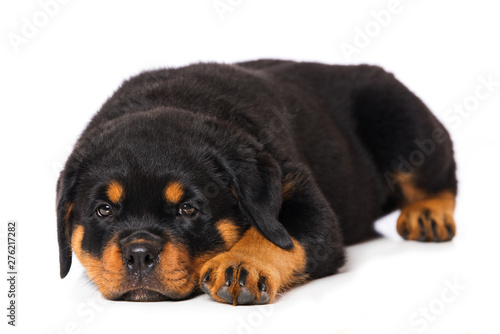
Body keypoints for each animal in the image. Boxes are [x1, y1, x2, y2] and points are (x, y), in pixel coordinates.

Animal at [55, 58, 458, 304]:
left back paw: (428, 214)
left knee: (439, 173)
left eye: (189, 210)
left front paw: (241, 265)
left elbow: (281, 234)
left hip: (399, 118)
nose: (139, 254)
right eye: (104, 210)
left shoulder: (301, 192)